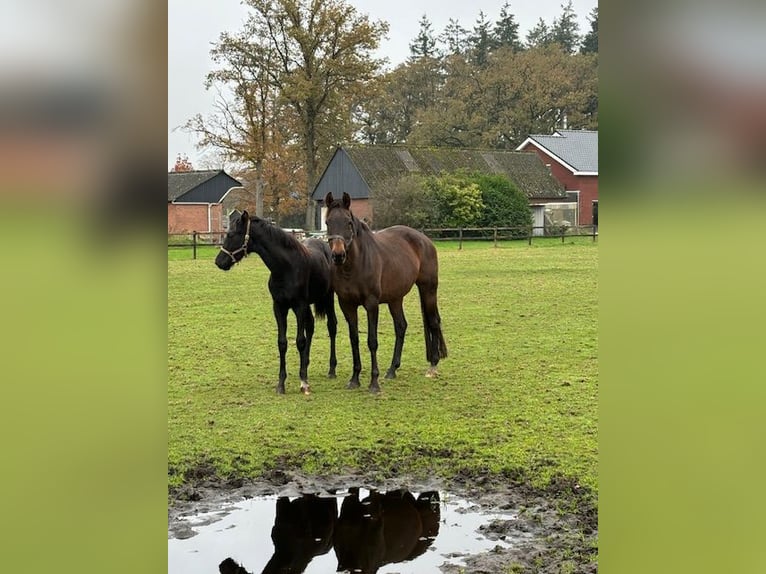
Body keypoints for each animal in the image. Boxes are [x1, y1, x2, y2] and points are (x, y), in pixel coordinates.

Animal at [214, 212, 338, 396]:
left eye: (230, 234)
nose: (219, 261)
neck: (286, 267)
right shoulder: (279, 307)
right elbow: (282, 343)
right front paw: (281, 383)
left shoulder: (299, 306)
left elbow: (300, 341)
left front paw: (304, 383)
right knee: (311, 326)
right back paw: (306, 364)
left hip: (327, 298)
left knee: (331, 326)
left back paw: (331, 369)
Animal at [326, 191, 450, 394]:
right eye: (328, 222)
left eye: (348, 223)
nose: (338, 255)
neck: (354, 266)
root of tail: (425, 240)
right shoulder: (347, 305)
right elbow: (354, 339)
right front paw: (354, 378)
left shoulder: (371, 304)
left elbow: (372, 341)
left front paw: (374, 383)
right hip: (395, 299)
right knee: (401, 326)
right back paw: (392, 369)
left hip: (428, 289)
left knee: (433, 321)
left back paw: (433, 366)